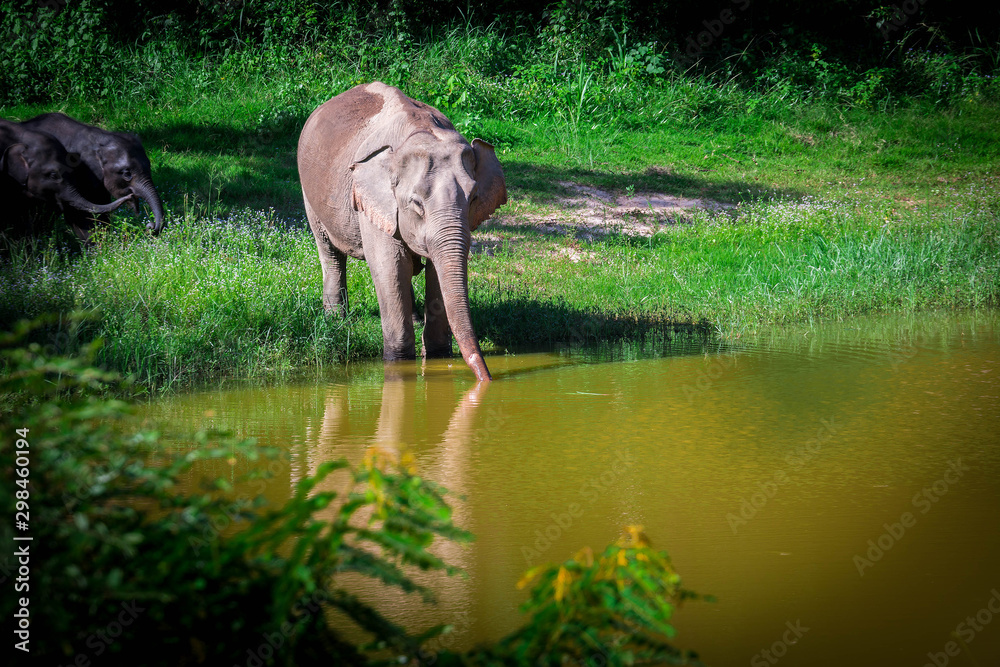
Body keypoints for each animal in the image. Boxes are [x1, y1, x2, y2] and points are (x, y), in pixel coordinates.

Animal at [298, 82, 506, 382]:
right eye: (416, 203)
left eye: (474, 198)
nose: (487, 380)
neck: (420, 132)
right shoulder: (372, 203)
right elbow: (389, 267)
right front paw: (398, 361)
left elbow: (435, 272)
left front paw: (439, 356)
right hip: (309, 193)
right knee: (330, 251)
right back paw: (336, 319)